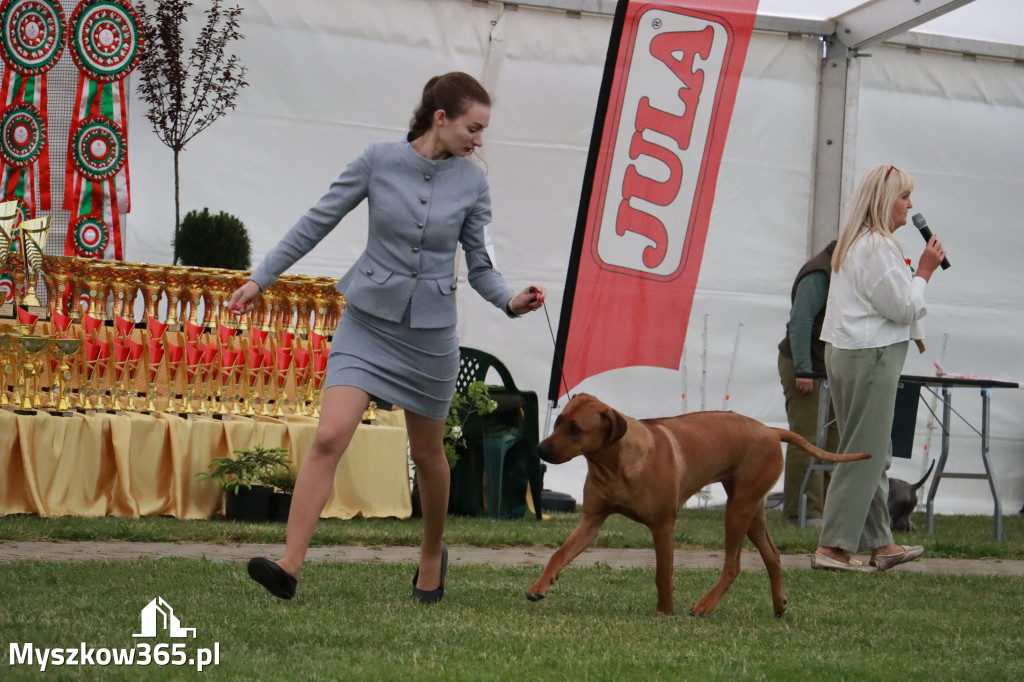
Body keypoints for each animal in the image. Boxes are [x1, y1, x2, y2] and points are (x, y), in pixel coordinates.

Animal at [524, 391, 868, 614]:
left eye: (575, 429)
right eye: (557, 422)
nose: (539, 450)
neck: (614, 464)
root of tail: (771, 429)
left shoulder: (663, 525)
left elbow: (663, 573)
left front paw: (665, 611)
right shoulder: (592, 520)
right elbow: (559, 554)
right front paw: (540, 587)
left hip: (738, 508)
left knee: (733, 565)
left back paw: (705, 605)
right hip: (752, 508)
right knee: (772, 555)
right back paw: (779, 604)